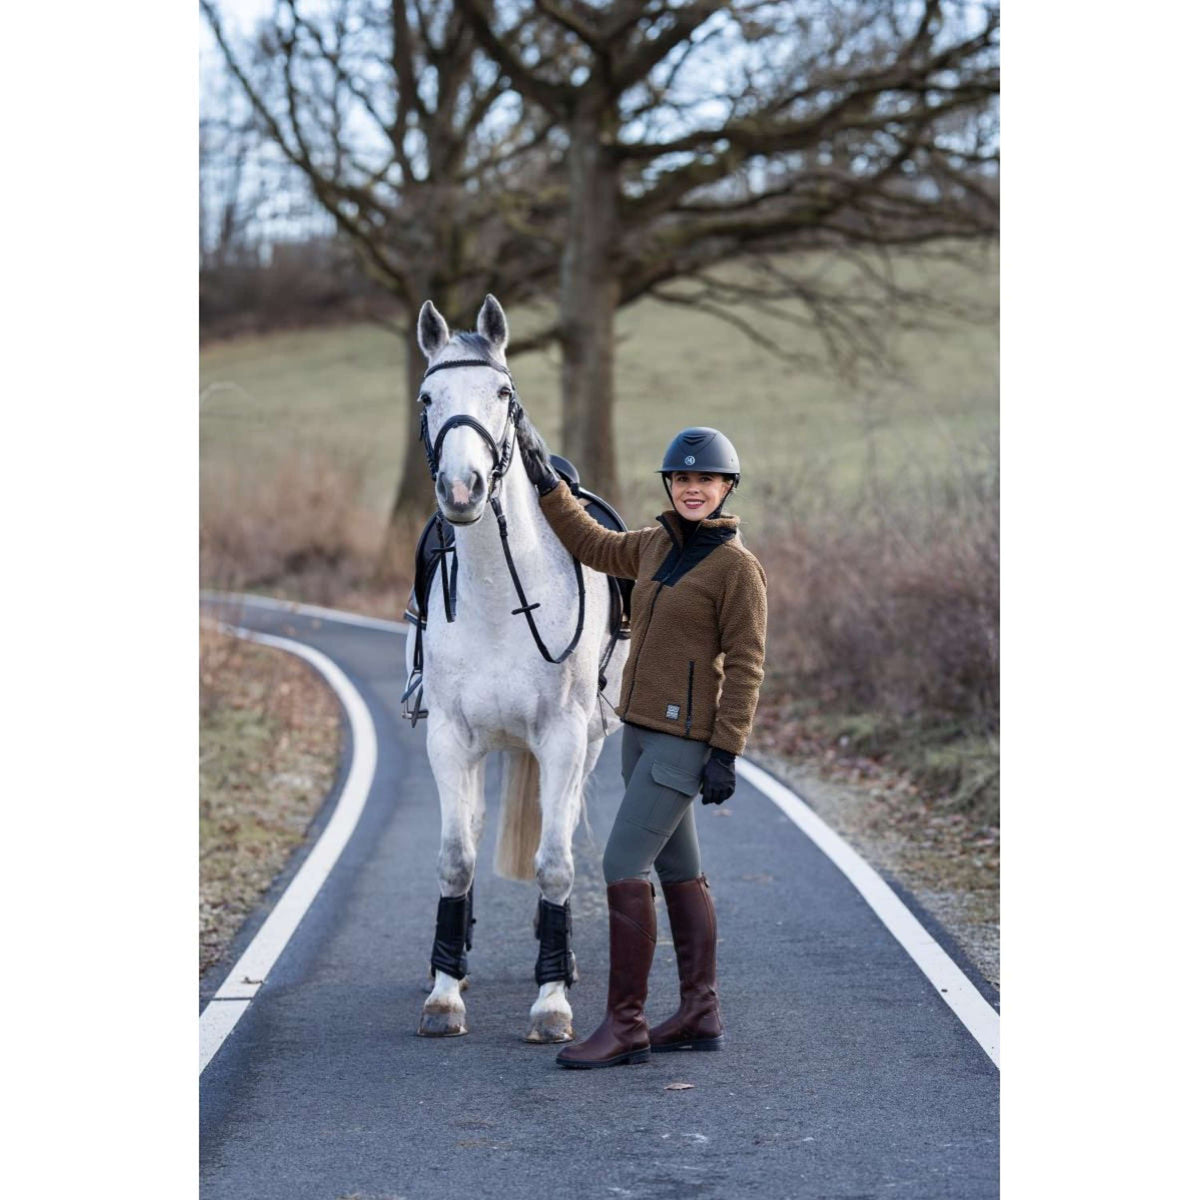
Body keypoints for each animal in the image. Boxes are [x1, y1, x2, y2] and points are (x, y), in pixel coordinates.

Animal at [403, 292, 628, 1041]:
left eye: (502, 394)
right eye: (428, 397)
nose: (462, 488)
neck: (502, 593)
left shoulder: (562, 738)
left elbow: (555, 864)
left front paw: (551, 1000)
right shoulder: (448, 738)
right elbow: (454, 858)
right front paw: (445, 993)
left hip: (585, 747)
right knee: (470, 831)